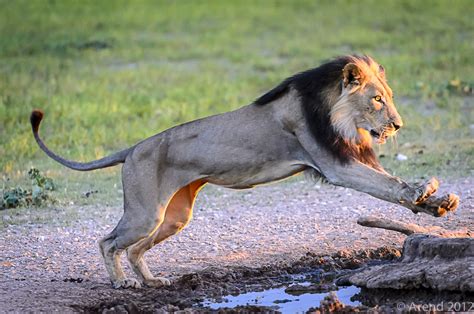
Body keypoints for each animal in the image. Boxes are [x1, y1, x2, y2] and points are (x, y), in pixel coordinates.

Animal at [29, 55, 460, 288]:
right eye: (377, 100)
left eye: (388, 98)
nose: (399, 125)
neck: (336, 112)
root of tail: (134, 147)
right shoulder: (333, 162)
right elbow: (386, 185)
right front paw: (421, 192)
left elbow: (392, 185)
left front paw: (438, 202)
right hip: (144, 212)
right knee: (108, 242)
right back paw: (121, 282)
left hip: (174, 216)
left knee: (134, 248)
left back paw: (151, 281)